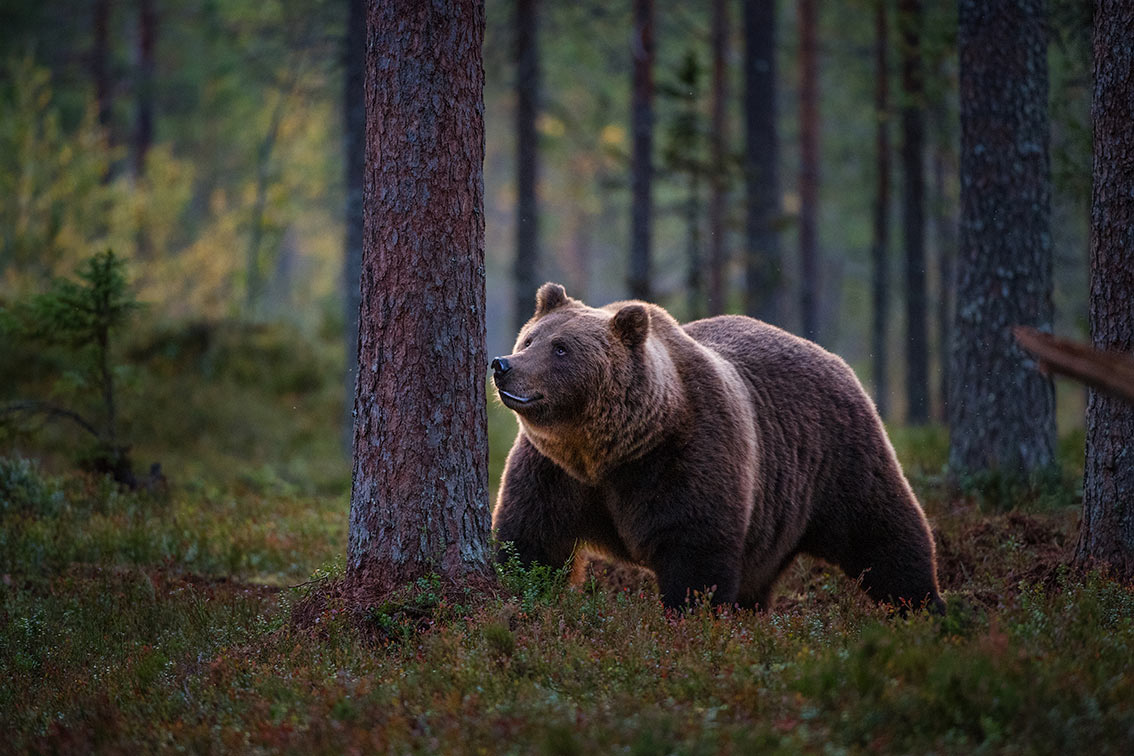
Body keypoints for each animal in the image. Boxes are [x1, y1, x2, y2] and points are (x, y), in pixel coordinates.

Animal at [492, 283, 943, 616]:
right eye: (530, 338)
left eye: (561, 348)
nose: (503, 364)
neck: (608, 452)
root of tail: (835, 360)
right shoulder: (554, 471)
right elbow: (531, 540)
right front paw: (520, 591)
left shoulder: (687, 454)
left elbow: (695, 551)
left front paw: (689, 617)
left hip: (839, 458)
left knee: (886, 533)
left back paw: (925, 608)